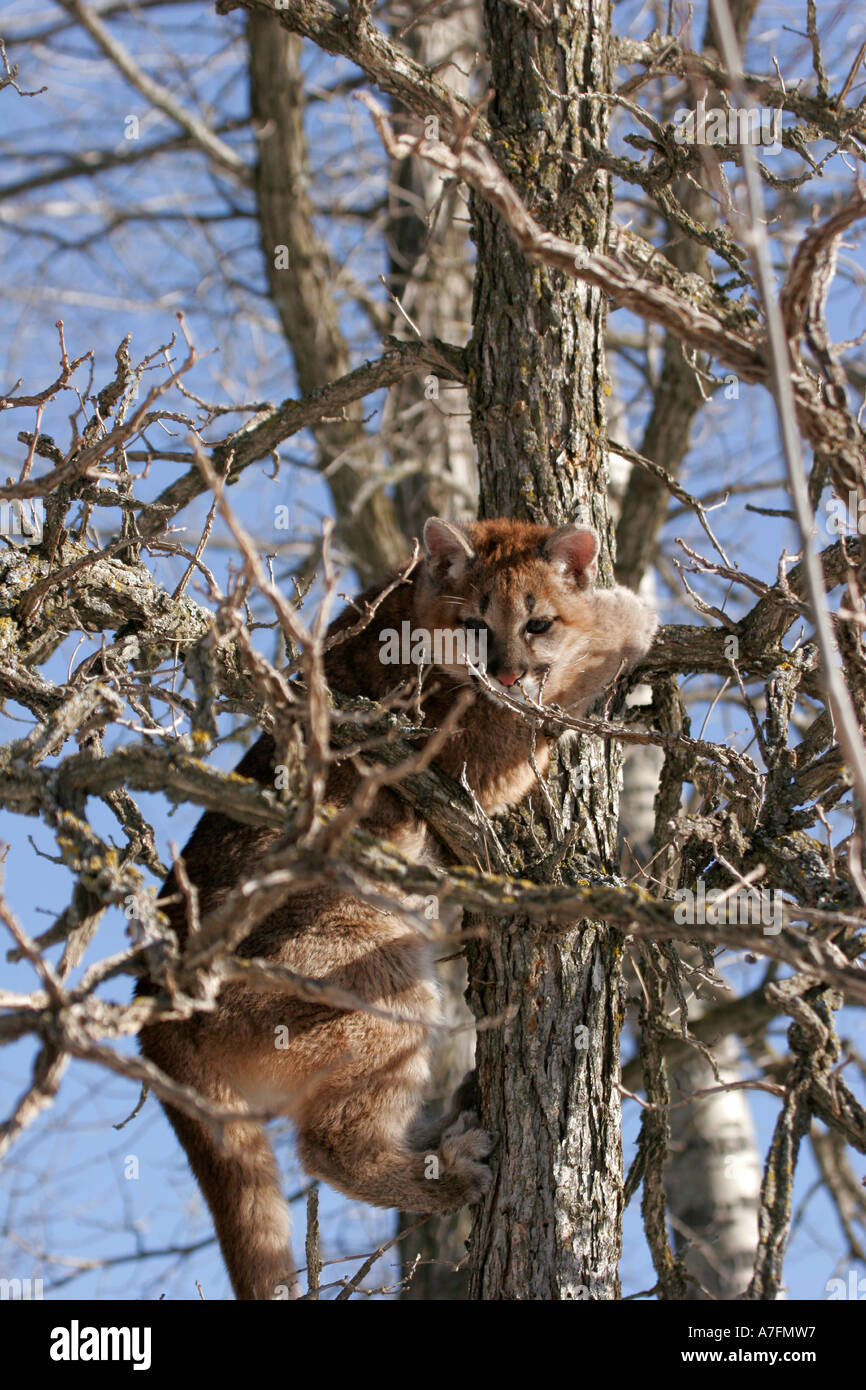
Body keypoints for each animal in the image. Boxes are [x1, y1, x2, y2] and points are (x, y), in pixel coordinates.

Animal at [140, 517, 656, 1295]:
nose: (505, 673)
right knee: (328, 1145)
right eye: (476, 625)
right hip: (371, 971)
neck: (411, 609)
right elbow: (563, 683)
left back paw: (454, 1120)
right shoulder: (469, 749)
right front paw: (628, 613)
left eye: (535, 622)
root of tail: (150, 1002)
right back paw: (450, 1171)